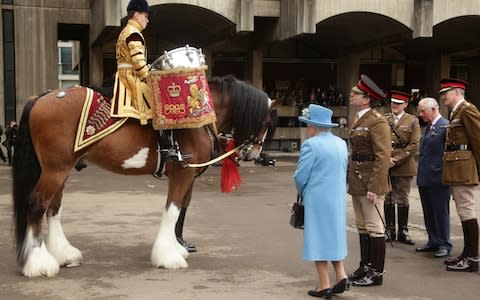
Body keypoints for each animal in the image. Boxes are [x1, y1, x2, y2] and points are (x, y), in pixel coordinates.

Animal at [12, 74, 278, 276]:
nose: (253, 154)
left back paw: (64, 254)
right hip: (55, 170)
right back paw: (38, 262)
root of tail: (41, 97)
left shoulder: (188, 176)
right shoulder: (181, 175)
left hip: (61, 169)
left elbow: (181, 208)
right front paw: (168, 256)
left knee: (53, 208)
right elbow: (172, 210)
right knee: (37, 205)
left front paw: (177, 247)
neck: (196, 117)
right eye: (266, 123)